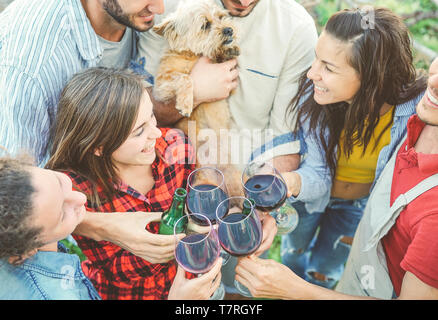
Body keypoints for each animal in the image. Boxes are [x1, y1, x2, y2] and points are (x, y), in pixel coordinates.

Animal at [153, 0, 243, 195]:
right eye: (205, 25)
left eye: (221, 17)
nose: (228, 30)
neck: (192, 55)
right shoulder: (161, 88)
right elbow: (186, 78)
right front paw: (185, 104)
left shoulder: (230, 84)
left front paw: (228, 50)